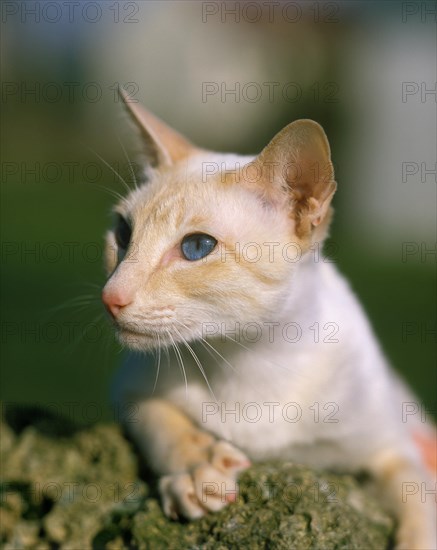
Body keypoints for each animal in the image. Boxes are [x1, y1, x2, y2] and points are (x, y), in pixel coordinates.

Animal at [103, 88, 436, 548]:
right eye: (122, 233)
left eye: (196, 247)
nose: (110, 297)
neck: (249, 358)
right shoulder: (130, 388)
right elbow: (160, 421)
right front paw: (197, 467)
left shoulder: (391, 444)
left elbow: (418, 496)